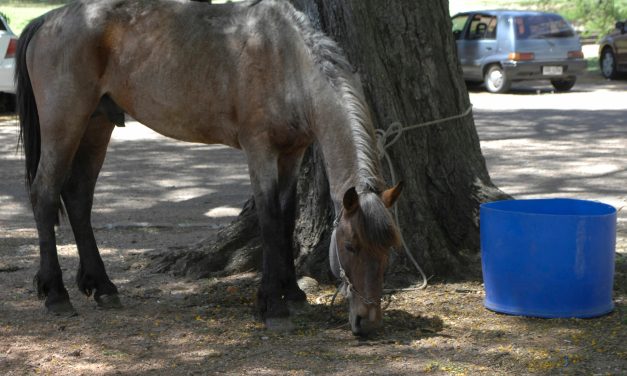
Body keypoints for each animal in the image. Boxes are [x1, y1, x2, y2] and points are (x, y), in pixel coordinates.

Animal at [17, 0, 404, 334]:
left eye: (389, 247)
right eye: (350, 246)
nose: (368, 321)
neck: (286, 59)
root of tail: (47, 20)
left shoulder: (292, 153)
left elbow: (286, 217)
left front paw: (292, 294)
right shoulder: (260, 151)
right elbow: (269, 219)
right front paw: (272, 305)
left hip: (97, 124)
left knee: (78, 195)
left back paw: (103, 287)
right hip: (64, 123)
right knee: (45, 194)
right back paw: (57, 294)